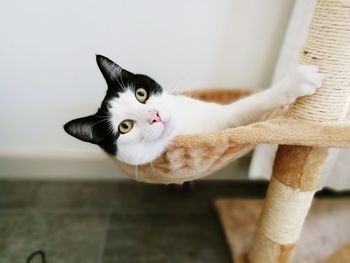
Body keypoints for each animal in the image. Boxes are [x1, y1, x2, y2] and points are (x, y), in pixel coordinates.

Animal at [63, 55, 322, 165]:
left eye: (141, 94)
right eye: (124, 126)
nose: (154, 116)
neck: (186, 127)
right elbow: (250, 103)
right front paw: (297, 81)